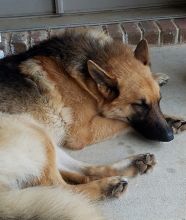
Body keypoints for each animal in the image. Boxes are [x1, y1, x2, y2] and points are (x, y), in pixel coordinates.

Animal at [0, 28, 186, 219]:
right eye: (139, 105)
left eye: (160, 100)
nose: (169, 137)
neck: (83, 79)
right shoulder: (83, 132)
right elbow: (123, 121)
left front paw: (163, 93)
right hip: (29, 129)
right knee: (61, 188)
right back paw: (106, 187)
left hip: (43, 138)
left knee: (84, 172)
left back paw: (132, 165)